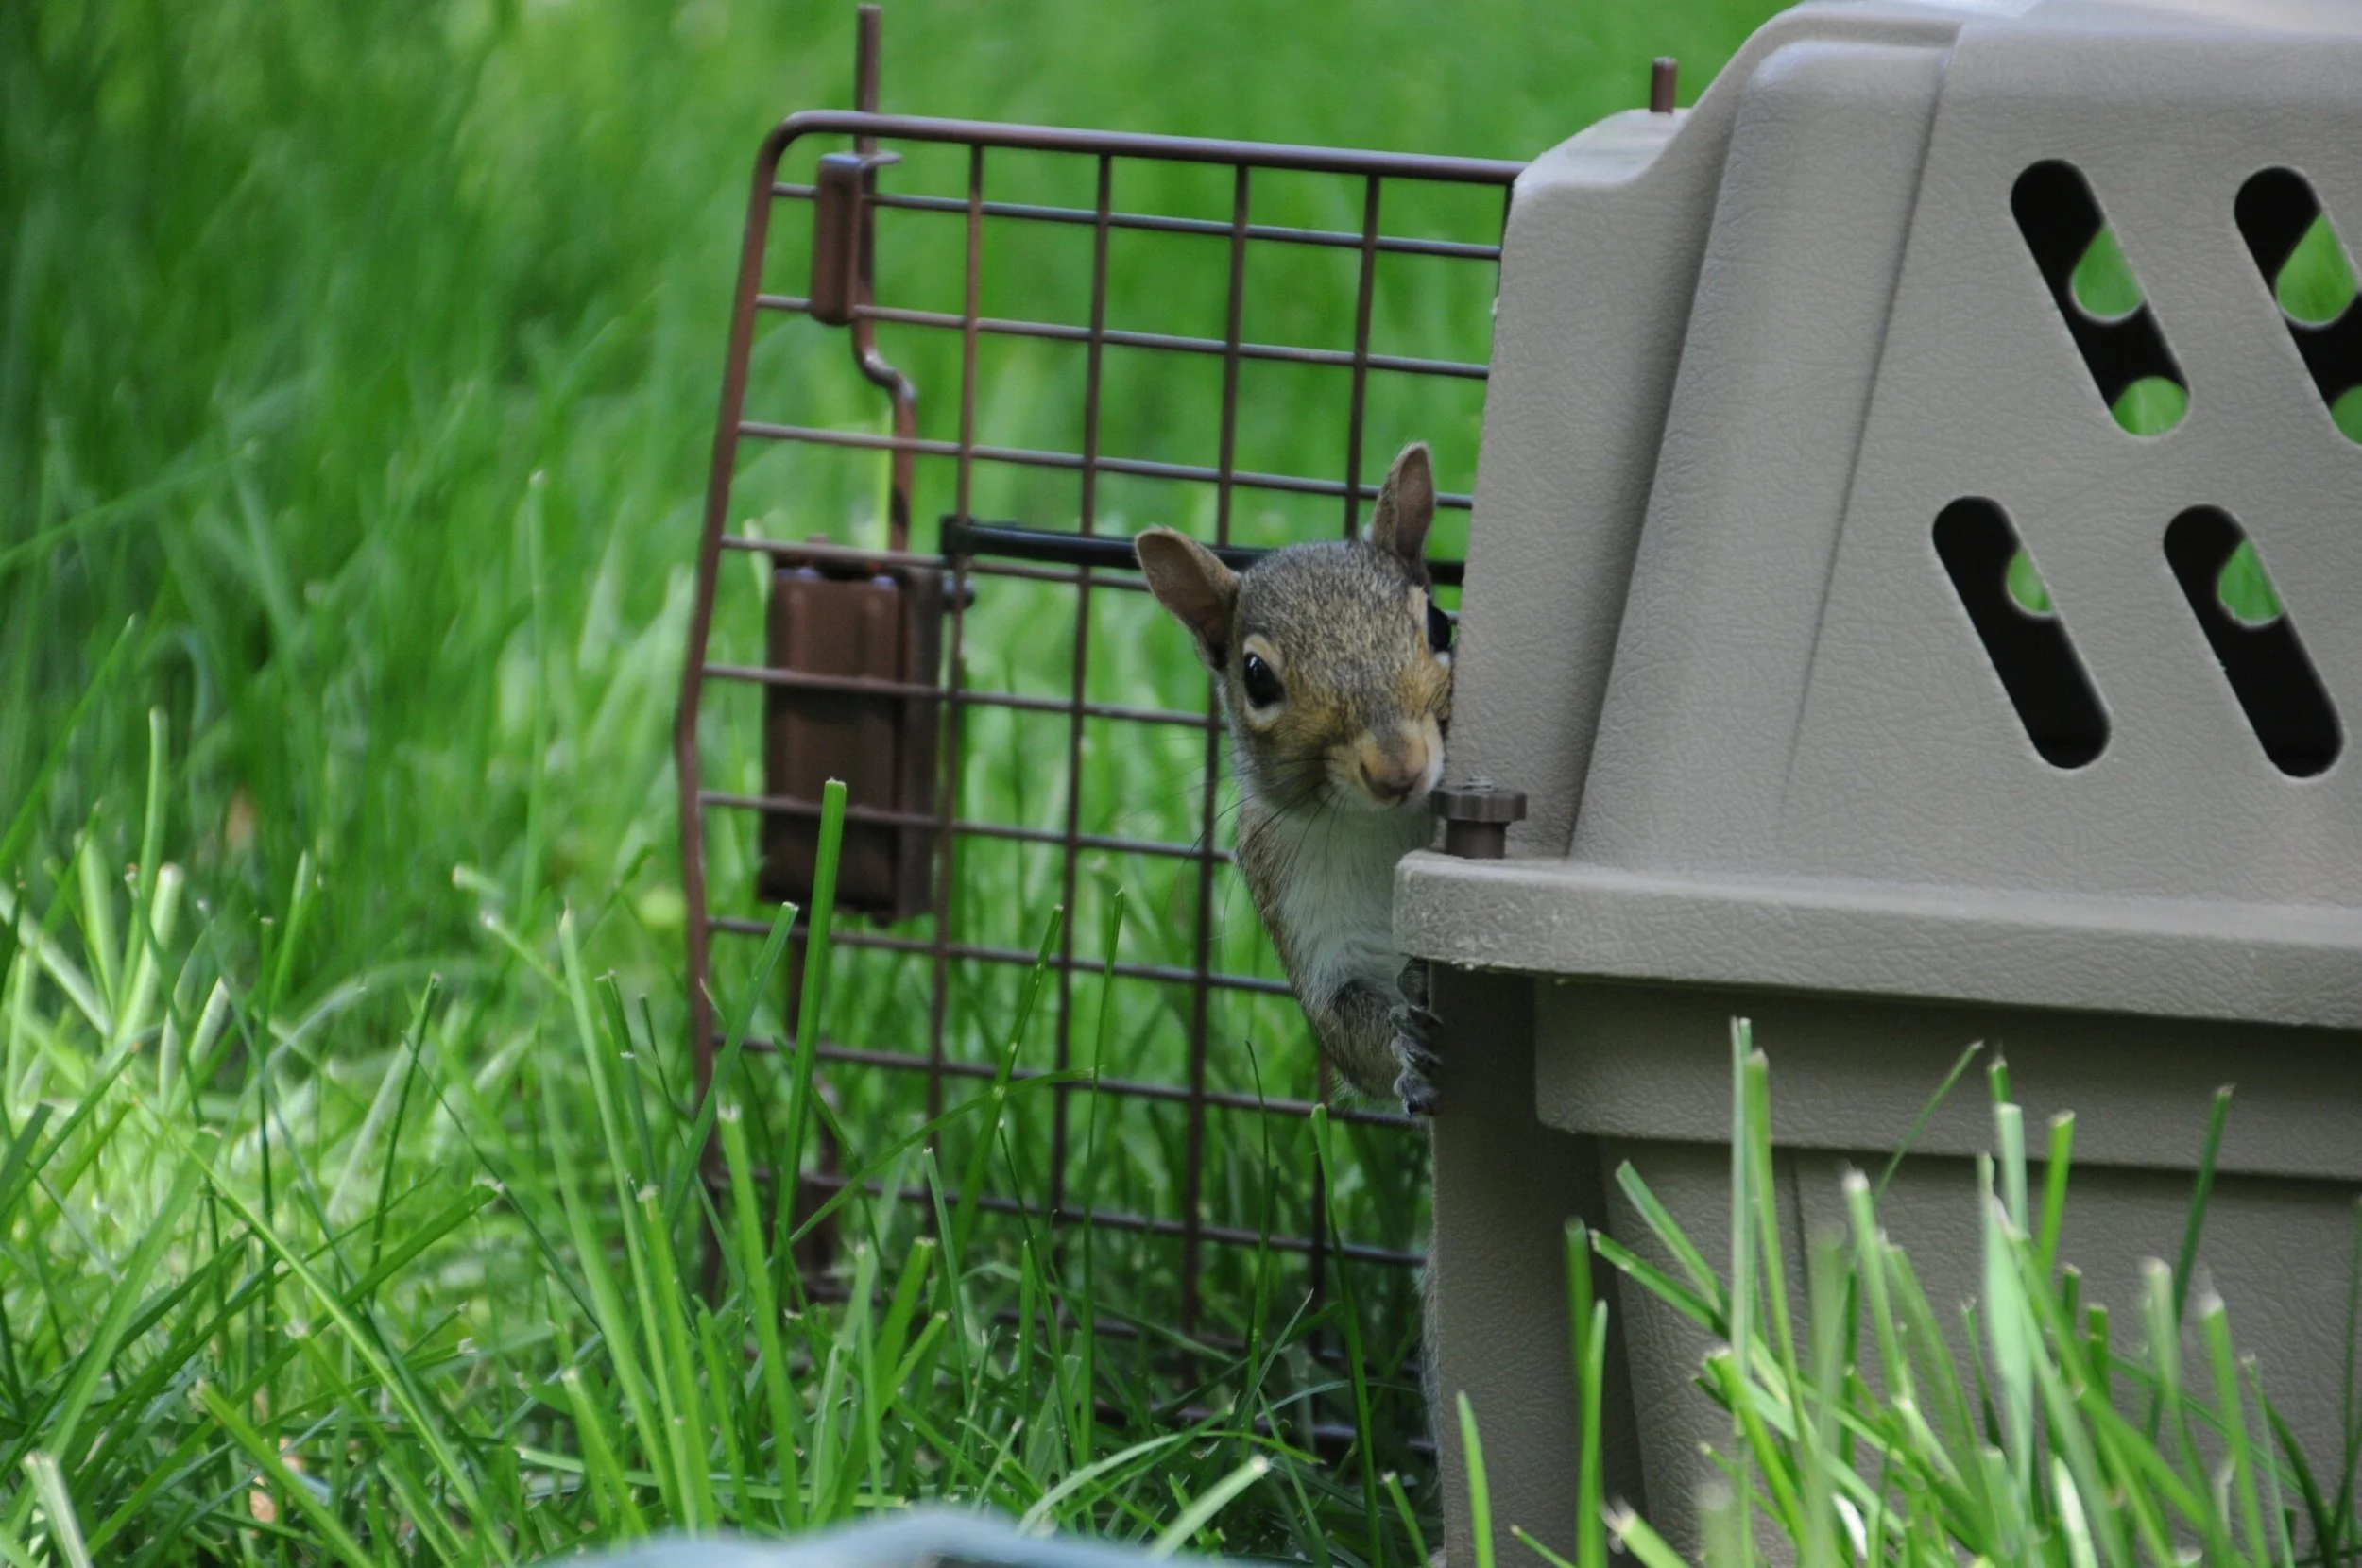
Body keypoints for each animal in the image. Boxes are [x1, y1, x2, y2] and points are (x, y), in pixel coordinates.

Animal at [1135, 442, 1452, 1114]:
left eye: (1439, 624)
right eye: (1256, 677)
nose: (1399, 768)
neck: (1375, 826)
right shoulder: (1302, 915)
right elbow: (1347, 1034)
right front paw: (1408, 1054)